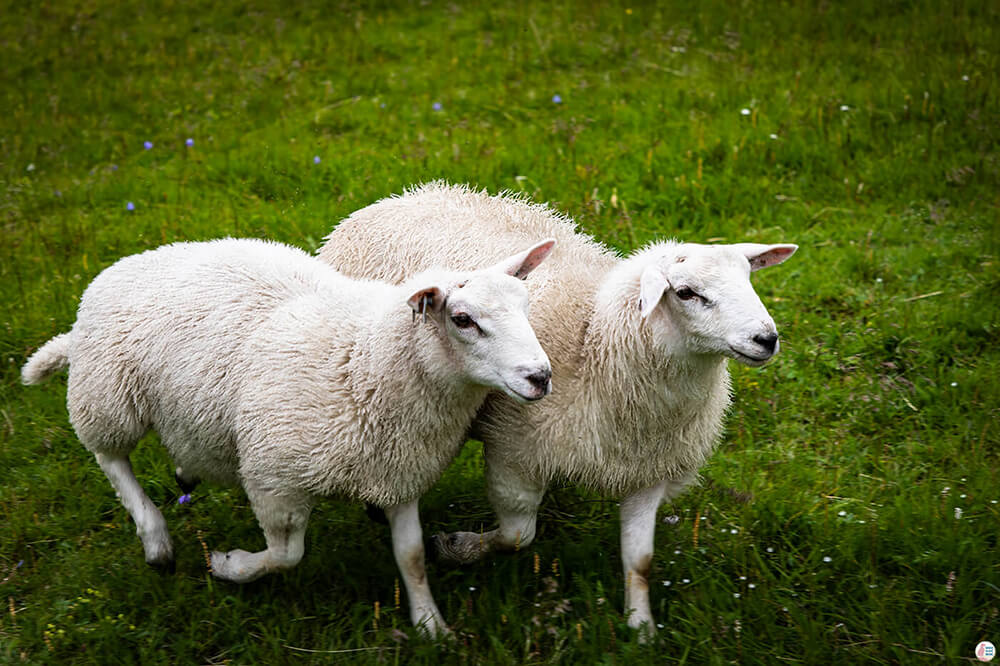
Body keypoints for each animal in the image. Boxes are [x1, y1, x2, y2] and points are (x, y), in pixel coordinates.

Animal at [23, 233, 556, 632]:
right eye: (463, 320)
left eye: (527, 305)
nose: (540, 376)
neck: (365, 357)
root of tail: (121, 266)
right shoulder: (273, 478)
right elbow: (285, 555)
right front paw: (229, 566)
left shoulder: (399, 469)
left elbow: (411, 556)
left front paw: (430, 625)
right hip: (108, 394)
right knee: (111, 458)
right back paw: (156, 540)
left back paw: (186, 473)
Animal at [320, 180, 796, 632]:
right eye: (685, 292)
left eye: (749, 279)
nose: (766, 338)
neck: (596, 342)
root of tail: (405, 195)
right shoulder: (515, 454)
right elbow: (517, 535)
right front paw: (456, 548)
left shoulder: (650, 471)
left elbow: (640, 561)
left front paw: (641, 629)